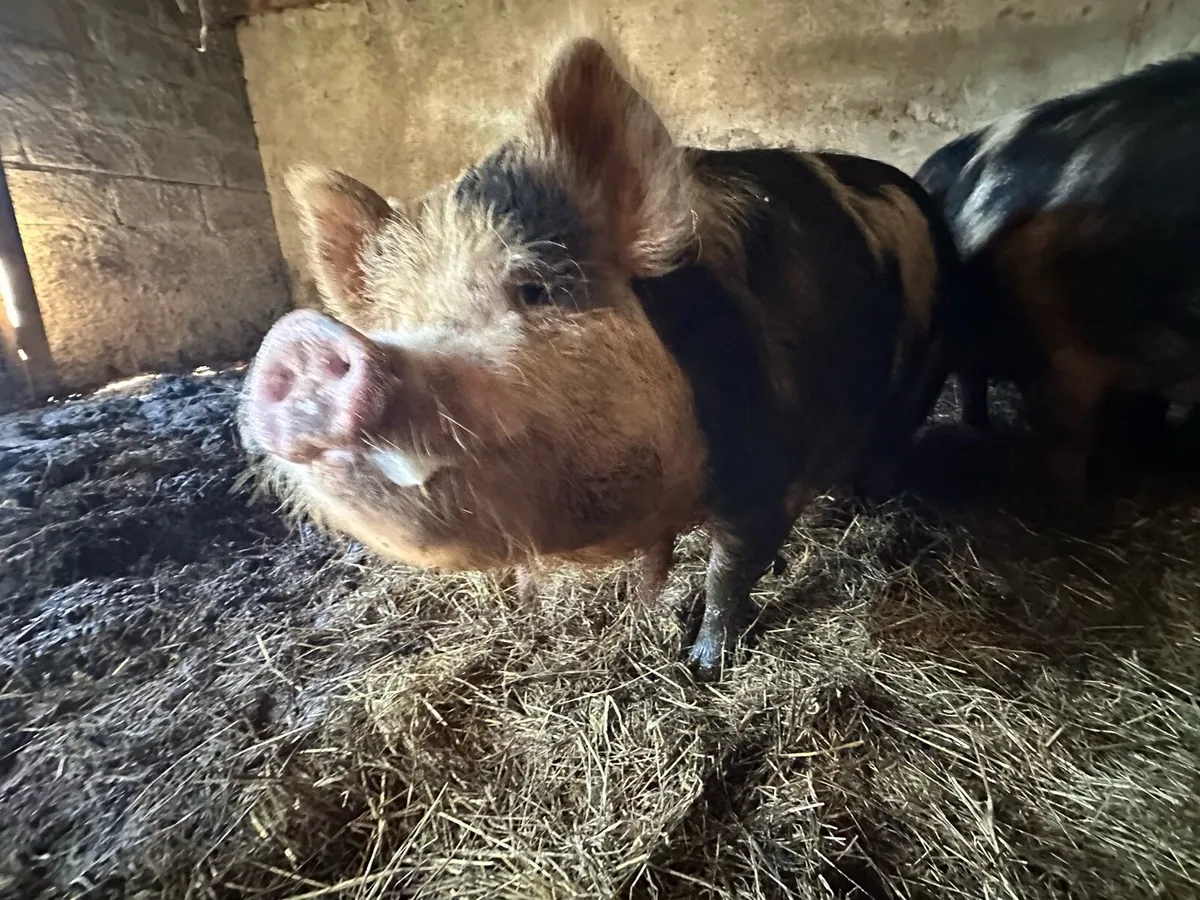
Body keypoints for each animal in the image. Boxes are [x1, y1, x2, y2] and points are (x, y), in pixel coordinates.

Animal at [238, 32, 963, 679]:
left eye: (534, 288)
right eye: (395, 319)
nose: (300, 340)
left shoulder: (766, 469)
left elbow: (731, 571)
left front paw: (704, 665)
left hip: (927, 369)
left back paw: (867, 505)